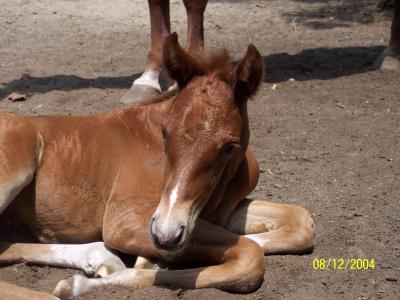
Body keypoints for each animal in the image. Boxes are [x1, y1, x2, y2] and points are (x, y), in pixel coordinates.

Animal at [0, 34, 316, 298]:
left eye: (230, 146)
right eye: (165, 132)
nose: (165, 234)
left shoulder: (216, 212)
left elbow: (300, 222)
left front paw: (147, 262)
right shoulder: (123, 221)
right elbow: (249, 255)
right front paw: (83, 283)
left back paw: (100, 257)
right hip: (20, 153)